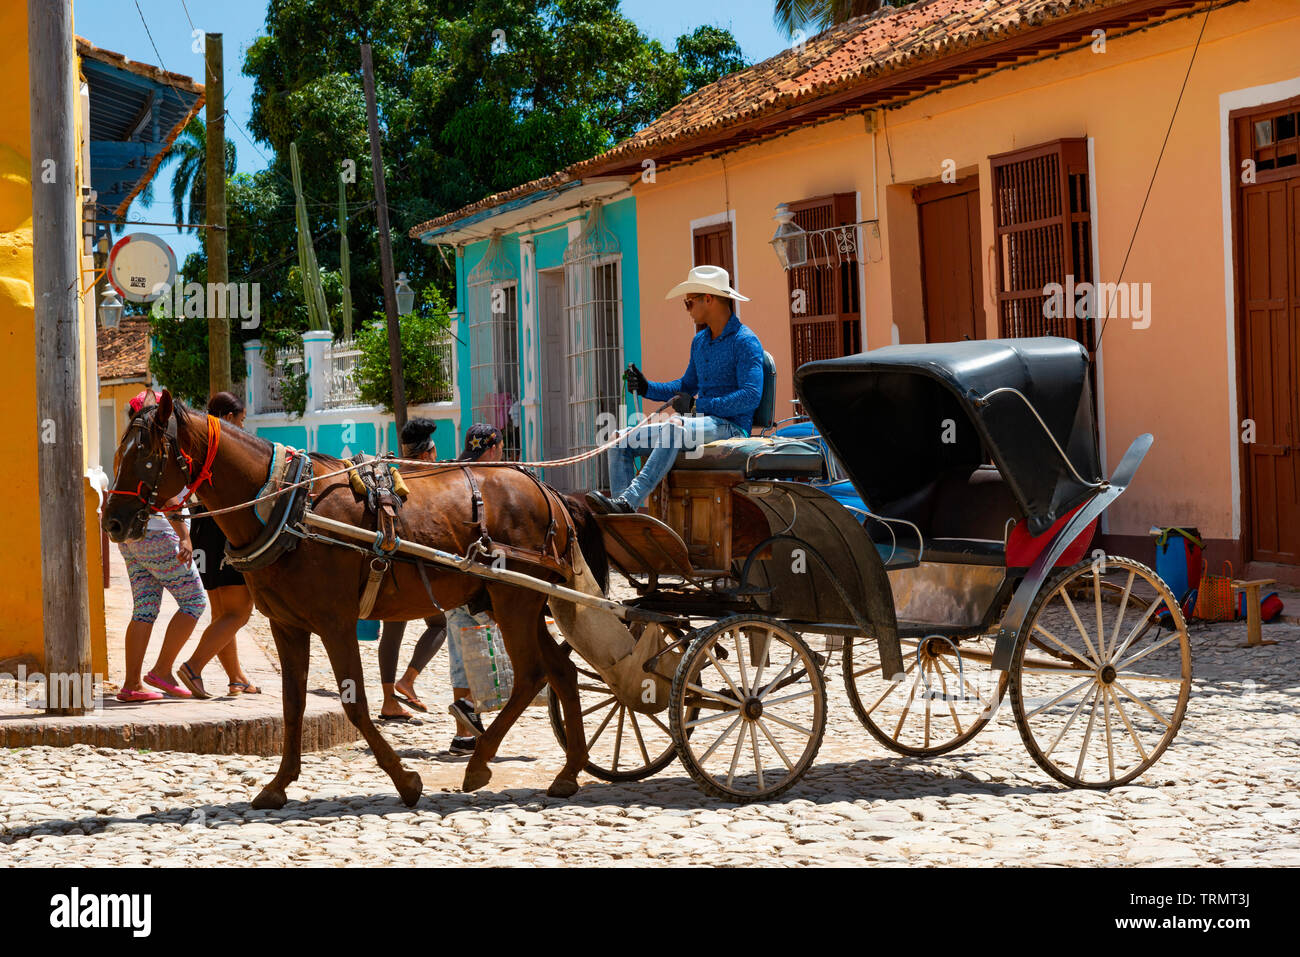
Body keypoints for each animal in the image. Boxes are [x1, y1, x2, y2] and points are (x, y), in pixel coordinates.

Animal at [104, 390, 605, 806]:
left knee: (532, 675)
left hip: (513, 600)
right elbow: (293, 704)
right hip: (519, 603)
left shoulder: (335, 622)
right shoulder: (287, 625)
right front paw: (278, 785)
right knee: (561, 672)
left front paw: (406, 781)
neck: (285, 504)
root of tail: (545, 490)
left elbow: (354, 703)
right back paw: (569, 772)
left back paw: (481, 762)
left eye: (146, 454)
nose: (112, 521)